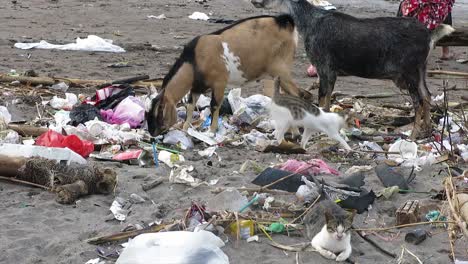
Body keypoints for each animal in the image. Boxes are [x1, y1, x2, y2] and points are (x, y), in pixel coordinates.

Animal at [147, 14, 308, 136]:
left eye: (160, 110)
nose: (152, 133)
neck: (194, 60)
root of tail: (285, 21)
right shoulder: (197, 87)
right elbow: (190, 106)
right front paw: (185, 128)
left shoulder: (219, 82)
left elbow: (214, 105)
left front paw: (211, 132)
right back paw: (293, 131)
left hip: (280, 69)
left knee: (298, 94)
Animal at [252, 0, 454, 139]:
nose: (255, 1)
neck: (309, 24)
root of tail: (429, 35)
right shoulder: (330, 71)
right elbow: (326, 99)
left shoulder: (325, 66)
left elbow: (322, 99)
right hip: (421, 69)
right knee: (427, 95)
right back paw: (427, 131)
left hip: (409, 70)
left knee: (418, 101)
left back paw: (412, 135)